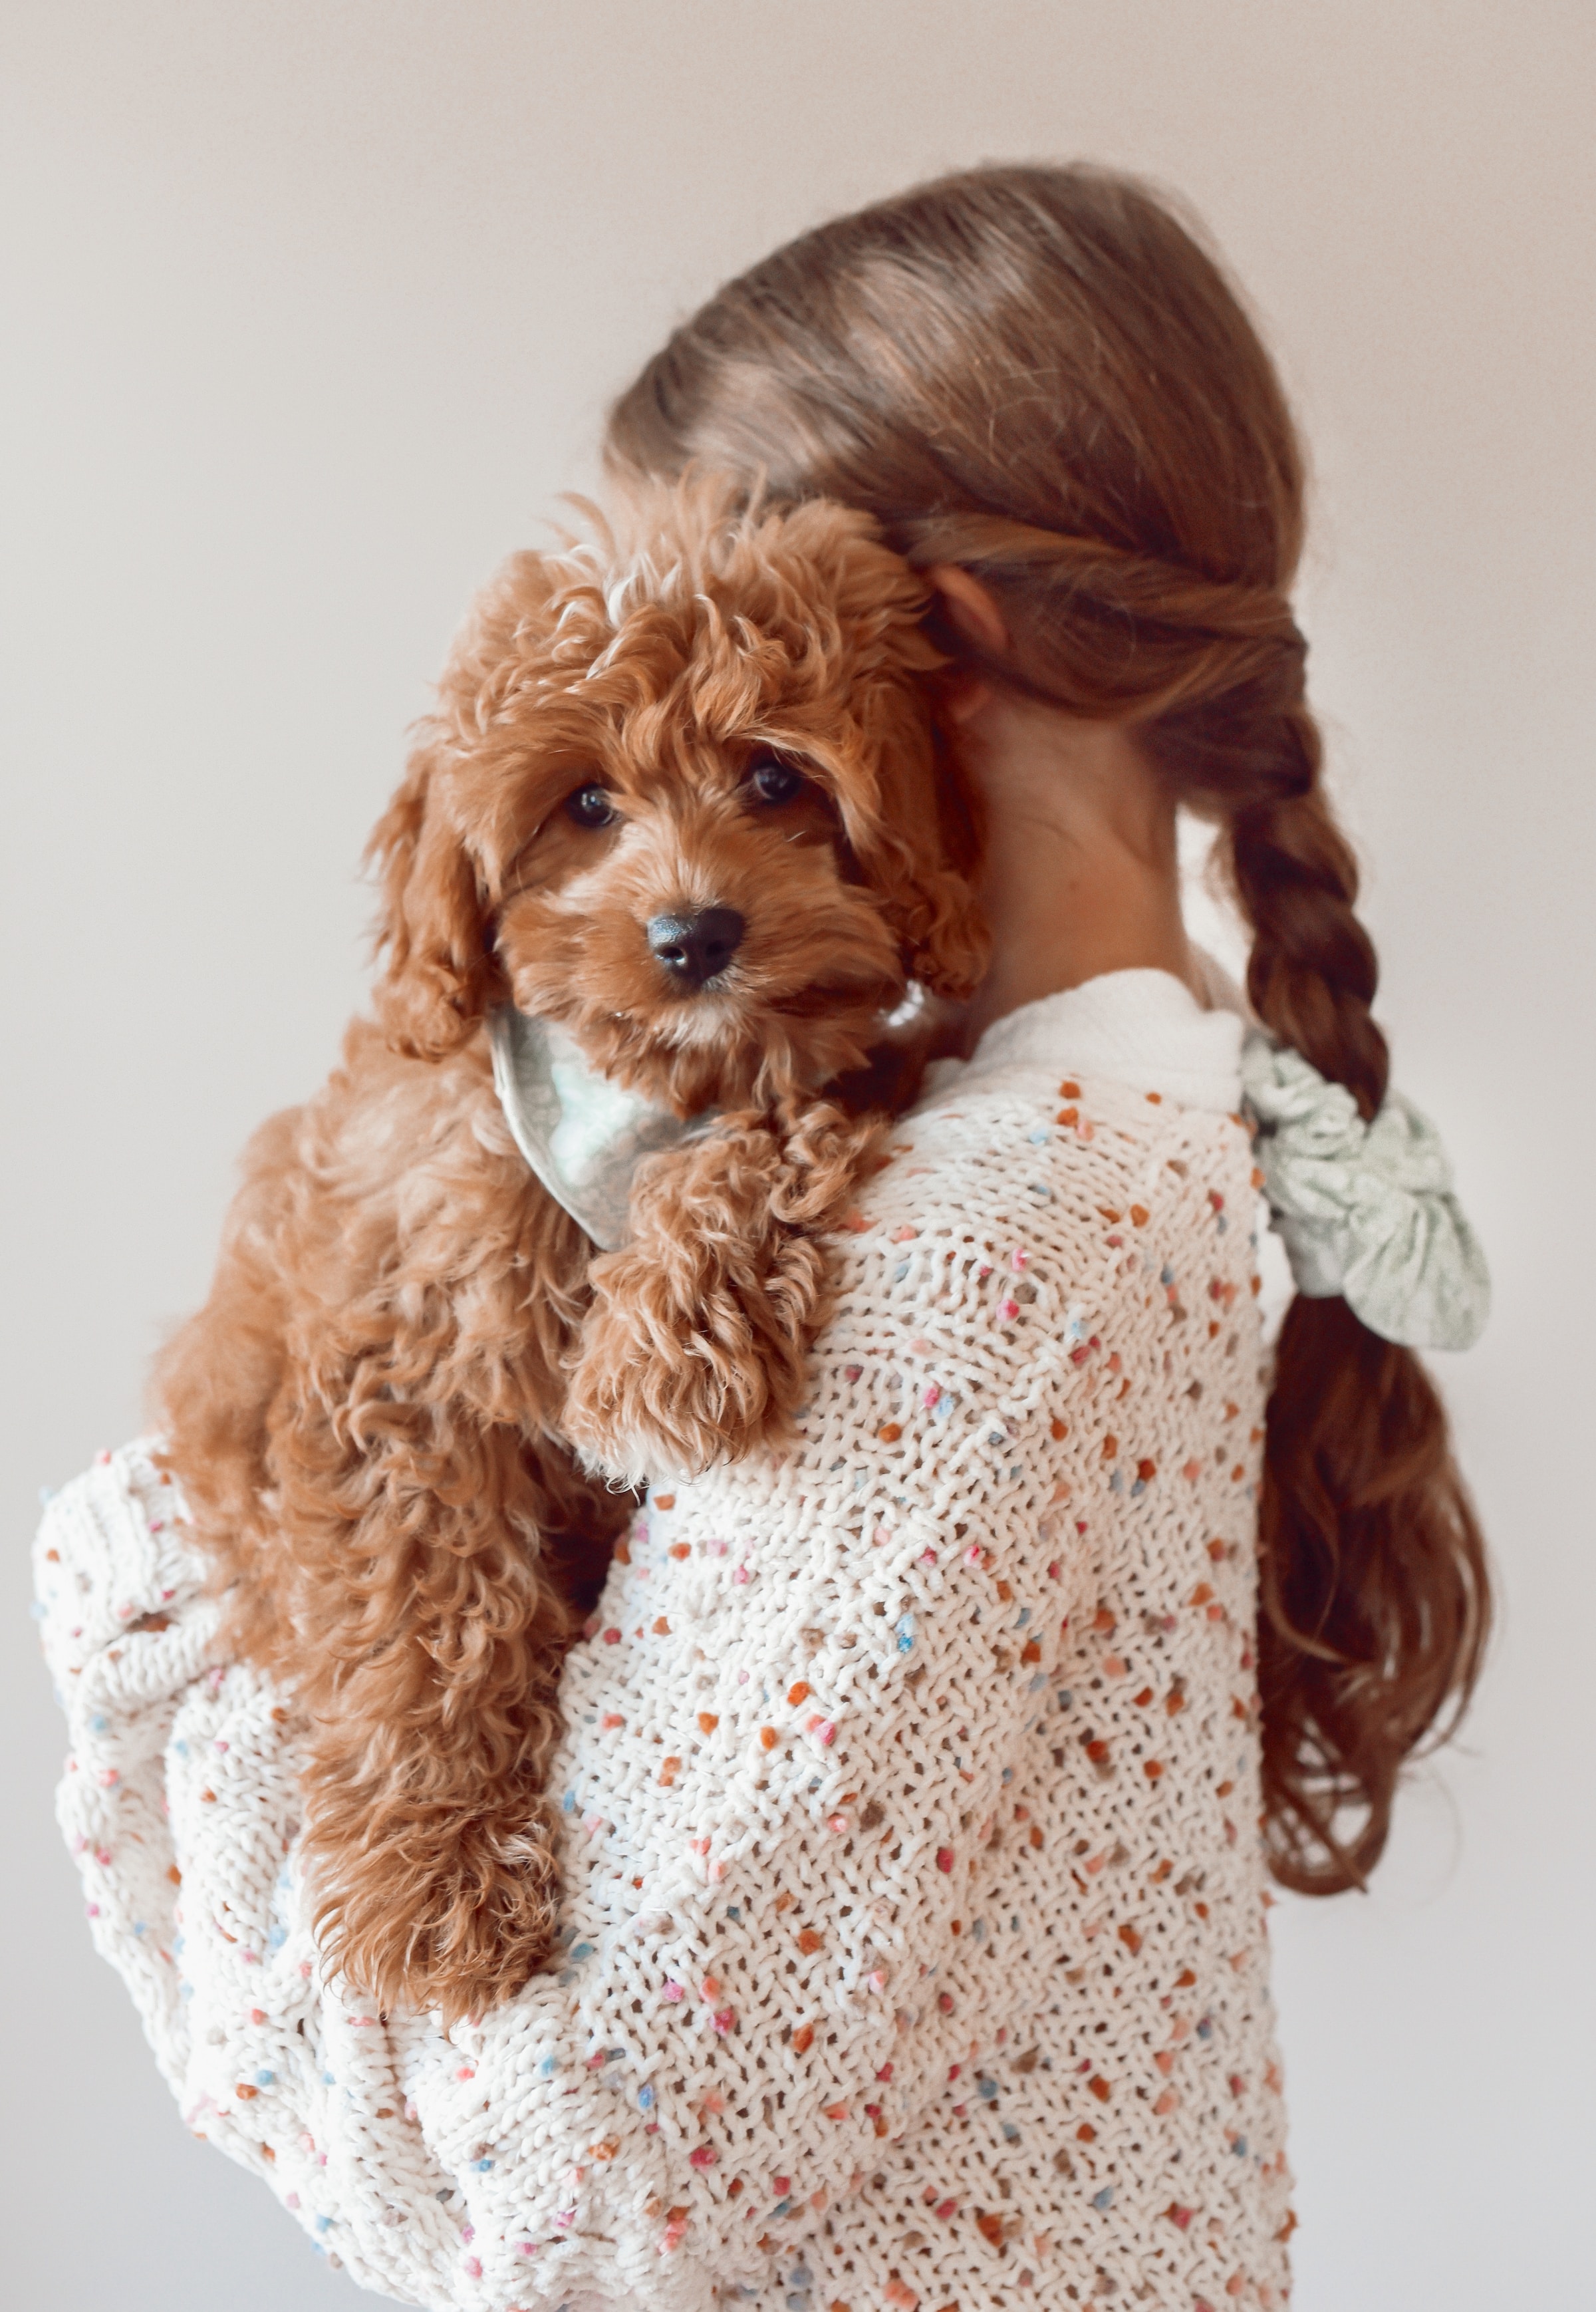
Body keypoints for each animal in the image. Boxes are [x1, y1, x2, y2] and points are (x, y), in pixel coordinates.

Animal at [158, 483, 980, 2025]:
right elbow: (418, 1614)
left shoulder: (837, 1071)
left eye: (775, 779)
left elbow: (775, 1115)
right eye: (585, 804)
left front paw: (666, 1344)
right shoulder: (396, 1357)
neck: (624, 1098)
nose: (694, 933)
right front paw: (436, 1891)